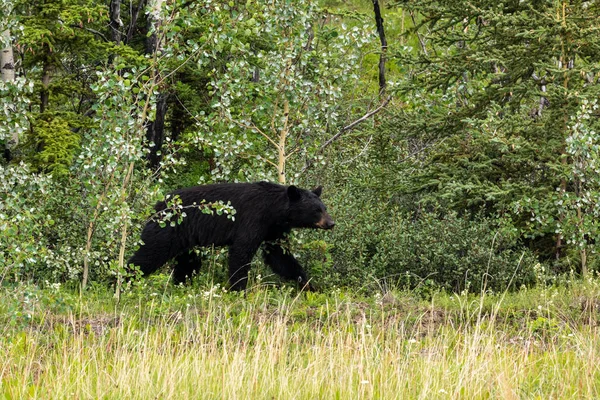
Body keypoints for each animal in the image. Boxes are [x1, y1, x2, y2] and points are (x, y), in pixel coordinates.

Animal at [127, 182, 332, 290]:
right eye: (316, 210)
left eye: (324, 208)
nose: (331, 223)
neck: (274, 212)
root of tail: (157, 206)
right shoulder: (253, 219)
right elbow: (241, 251)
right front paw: (239, 288)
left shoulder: (274, 229)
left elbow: (279, 255)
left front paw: (308, 285)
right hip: (166, 231)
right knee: (147, 256)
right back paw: (122, 280)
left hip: (187, 242)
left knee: (187, 264)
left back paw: (181, 286)